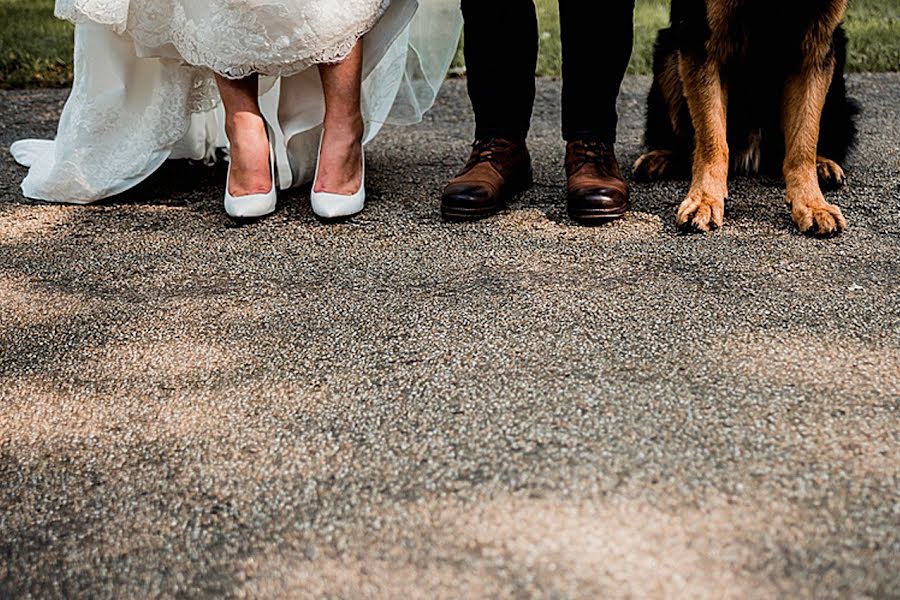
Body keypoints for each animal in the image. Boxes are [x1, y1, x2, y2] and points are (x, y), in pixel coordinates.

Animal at [632, 0, 856, 237]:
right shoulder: (701, 37)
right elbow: (712, 140)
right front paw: (705, 200)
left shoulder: (817, 44)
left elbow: (804, 143)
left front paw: (813, 205)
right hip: (667, 52)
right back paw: (660, 158)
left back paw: (823, 164)